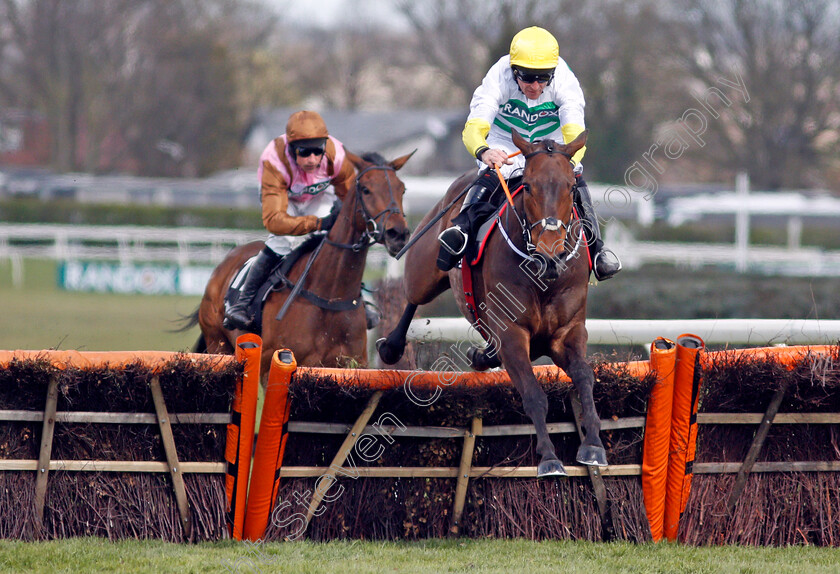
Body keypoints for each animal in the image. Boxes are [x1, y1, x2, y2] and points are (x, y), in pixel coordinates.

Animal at [189, 151, 416, 378]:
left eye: (402, 189)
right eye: (366, 189)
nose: (398, 234)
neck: (330, 297)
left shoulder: (354, 363)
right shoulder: (270, 364)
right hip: (218, 343)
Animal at [378, 133, 608, 480]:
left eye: (571, 187)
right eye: (528, 186)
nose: (550, 255)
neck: (543, 275)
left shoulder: (568, 332)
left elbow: (584, 377)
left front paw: (593, 445)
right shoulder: (512, 332)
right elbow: (533, 394)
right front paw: (548, 458)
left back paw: (482, 355)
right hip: (424, 271)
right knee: (412, 299)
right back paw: (391, 346)